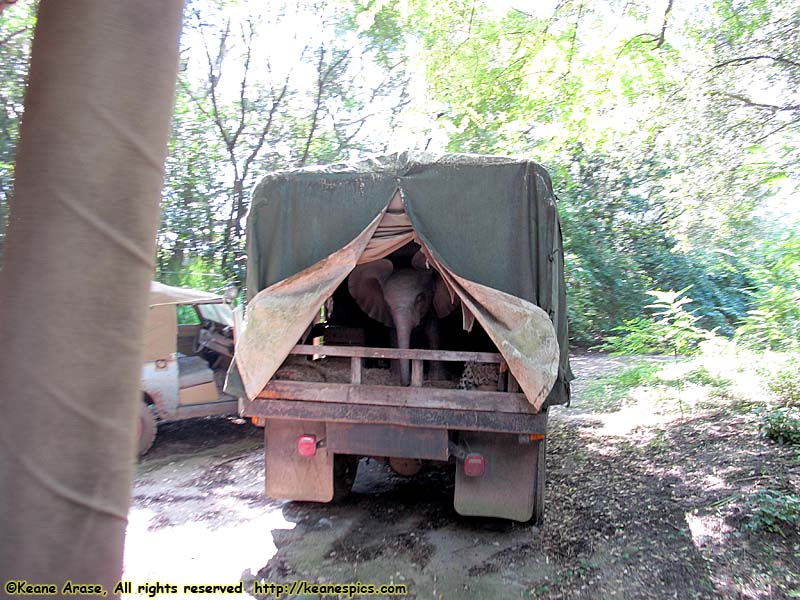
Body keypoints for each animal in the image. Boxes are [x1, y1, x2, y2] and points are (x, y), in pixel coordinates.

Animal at [348, 252, 456, 384]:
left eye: (420, 298)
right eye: (387, 304)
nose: (407, 383)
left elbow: (434, 336)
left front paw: (437, 379)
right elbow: (394, 338)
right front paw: (395, 376)